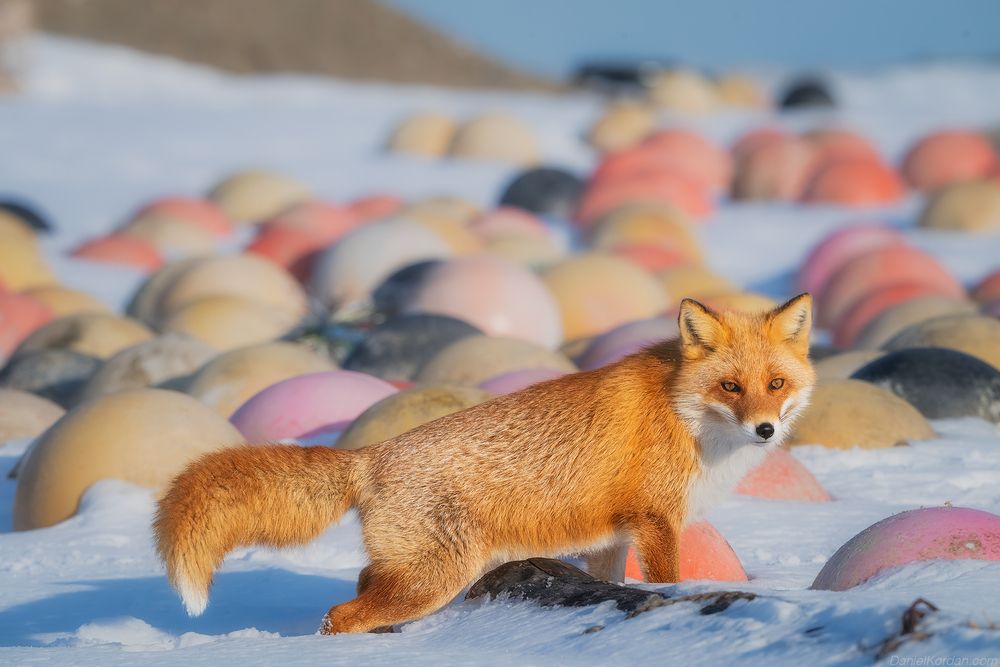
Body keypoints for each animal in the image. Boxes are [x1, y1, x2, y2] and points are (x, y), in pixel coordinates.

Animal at [153, 293, 815, 634]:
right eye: (730, 386)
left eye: (775, 384)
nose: (765, 429)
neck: (681, 411)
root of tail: (369, 457)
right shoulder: (657, 521)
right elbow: (669, 583)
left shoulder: (613, 535)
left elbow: (615, 586)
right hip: (434, 578)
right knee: (341, 615)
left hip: (414, 575)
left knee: (358, 591)